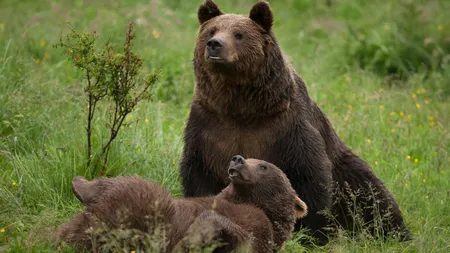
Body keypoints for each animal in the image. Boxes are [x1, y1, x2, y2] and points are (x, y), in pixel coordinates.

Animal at [181, 0, 414, 245]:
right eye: (211, 31)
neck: (242, 106)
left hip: (345, 170)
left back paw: (395, 234)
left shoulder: (287, 126)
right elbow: (199, 173)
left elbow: (309, 174)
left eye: (239, 34)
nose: (214, 44)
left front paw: (313, 234)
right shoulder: (208, 126)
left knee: (370, 194)